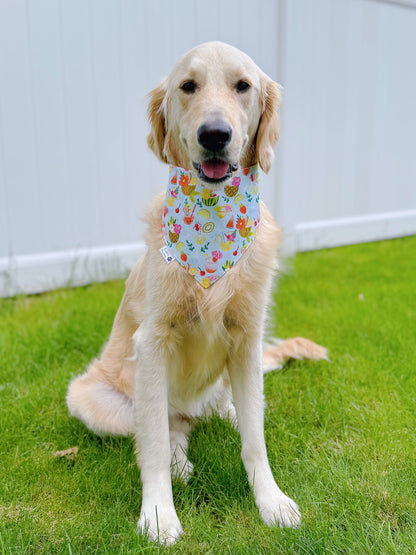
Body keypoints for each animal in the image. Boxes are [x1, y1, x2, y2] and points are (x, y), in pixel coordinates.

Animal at [66, 42, 328, 544]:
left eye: (242, 86)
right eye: (188, 86)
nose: (215, 134)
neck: (213, 221)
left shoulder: (246, 339)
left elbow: (254, 440)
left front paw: (270, 501)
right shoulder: (152, 342)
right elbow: (152, 444)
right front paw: (157, 514)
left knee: (227, 410)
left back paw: (227, 416)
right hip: (90, 397)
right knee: (168, 430)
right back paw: (181, 463)